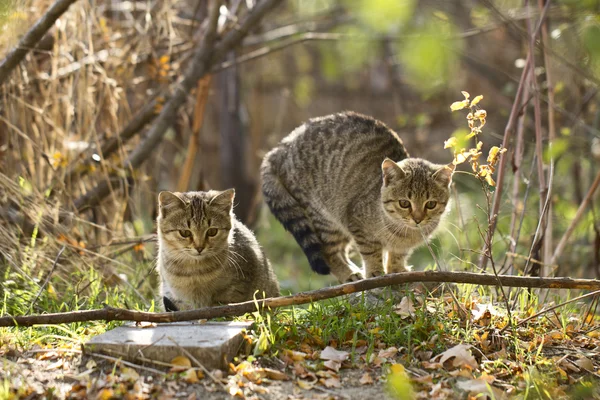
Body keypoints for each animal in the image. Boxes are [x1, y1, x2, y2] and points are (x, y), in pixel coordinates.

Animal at [260, 111, 452, 282]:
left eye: (430, 204)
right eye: (404, 203)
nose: (418, 219)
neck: (404, 233)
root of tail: (282, 146)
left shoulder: (400, 246)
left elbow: (397, 255)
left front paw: (396, 269)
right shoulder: (358, 224)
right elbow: (371, 252)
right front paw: (375, 272)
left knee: (341, 251)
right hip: (325, 216)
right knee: (329, 252)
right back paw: (348, 273)